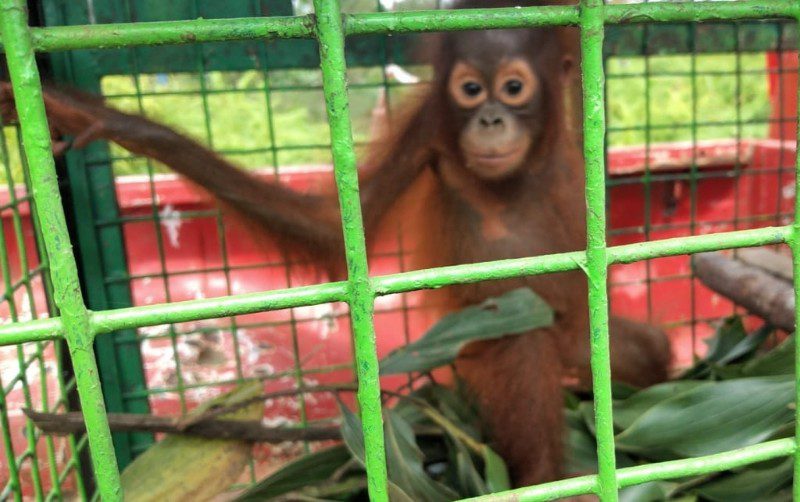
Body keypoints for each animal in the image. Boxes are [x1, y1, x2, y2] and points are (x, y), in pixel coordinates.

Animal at [0, 0, 671, 488]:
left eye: (512, 87)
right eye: (470, 90)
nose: (490, 121)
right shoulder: (427, 132)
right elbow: (336, 226)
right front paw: (112, 122)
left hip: (584, 338)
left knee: (650, 352)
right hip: (494, 342)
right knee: (522, 355)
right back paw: (547, 474)